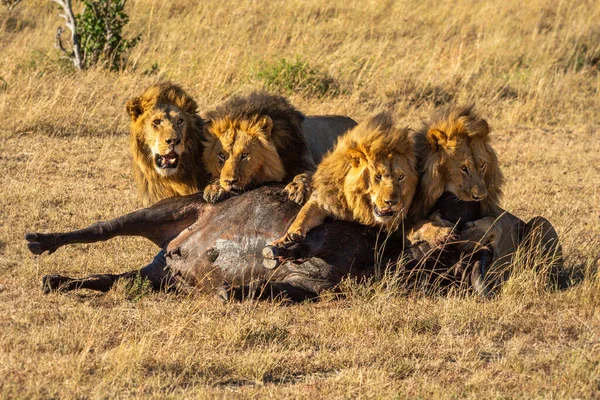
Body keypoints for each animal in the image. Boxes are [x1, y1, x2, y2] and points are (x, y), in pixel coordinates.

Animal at [270, 110, 418, 247]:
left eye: (401, 177)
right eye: (378, 176)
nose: (392, 202)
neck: (357, 201)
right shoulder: (322, 198)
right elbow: (303, 214)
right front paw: (287, 237)